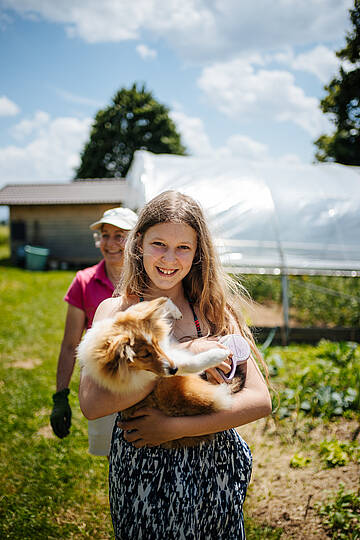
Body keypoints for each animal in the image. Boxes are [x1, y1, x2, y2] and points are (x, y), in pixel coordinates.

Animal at [77, 296, 243, 448]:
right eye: (144, 355)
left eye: (156, 344)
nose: (173, 369)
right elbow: (191, 363)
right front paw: (218, 355)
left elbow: (143, 306)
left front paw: (173, 311)